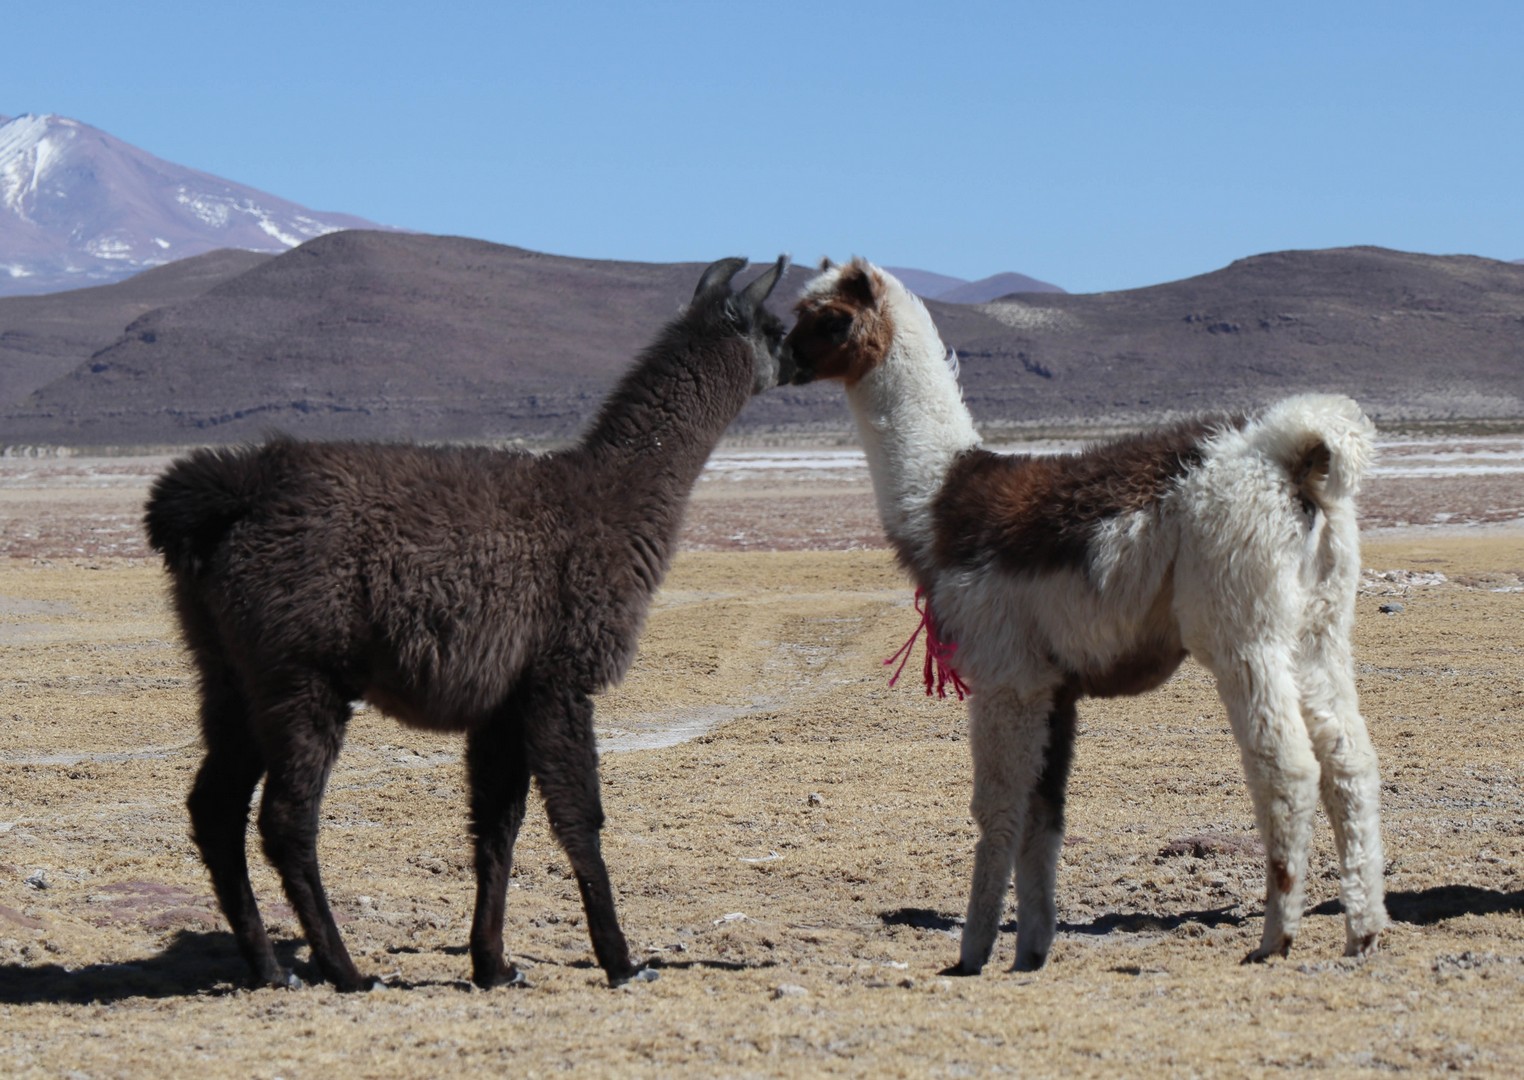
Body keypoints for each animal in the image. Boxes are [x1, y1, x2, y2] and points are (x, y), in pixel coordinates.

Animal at [144, 256, 792, 990]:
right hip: (300, 670)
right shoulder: (558, 678)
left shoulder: (504, 697)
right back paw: (346, 970)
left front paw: (493, 964)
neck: (610, 498)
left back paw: (266, 968)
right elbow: (579, 818)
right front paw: (622, 961)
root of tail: (232, 495)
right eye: (778, 328)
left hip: (229, 671)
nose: (805, 358)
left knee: (214, 808)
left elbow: (496, 827)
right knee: (285, 820)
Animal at [784, 257, 1387, 973]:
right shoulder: (1055, 684)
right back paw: (1363, 931)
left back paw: (1275, 938)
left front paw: (973, 952)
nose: (784, 361)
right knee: (1351, 761)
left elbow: (997, 808)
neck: (941, 500)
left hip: (1242, 623)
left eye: (828, 319)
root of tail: (1294, 459)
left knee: (1288, 765)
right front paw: (1030, 951)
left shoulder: (1007, 675)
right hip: (1318, 628)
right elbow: (1045, 816)